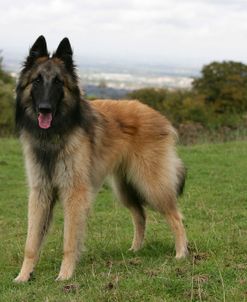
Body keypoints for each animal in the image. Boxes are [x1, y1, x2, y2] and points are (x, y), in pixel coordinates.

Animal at [14, 36, 187, 282]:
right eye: (37, 81)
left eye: (58, 82)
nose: (44, 108)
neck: (56, 133)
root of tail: (160, 117)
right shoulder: (41, 193)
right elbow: (31, 243)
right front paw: (23, 276)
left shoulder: (74, 193)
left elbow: (69, 240)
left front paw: (65, 275)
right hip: (124, 188)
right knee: (140, 215)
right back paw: (136, 249)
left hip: (151, 184)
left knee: (175, 215)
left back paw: (181, 253)